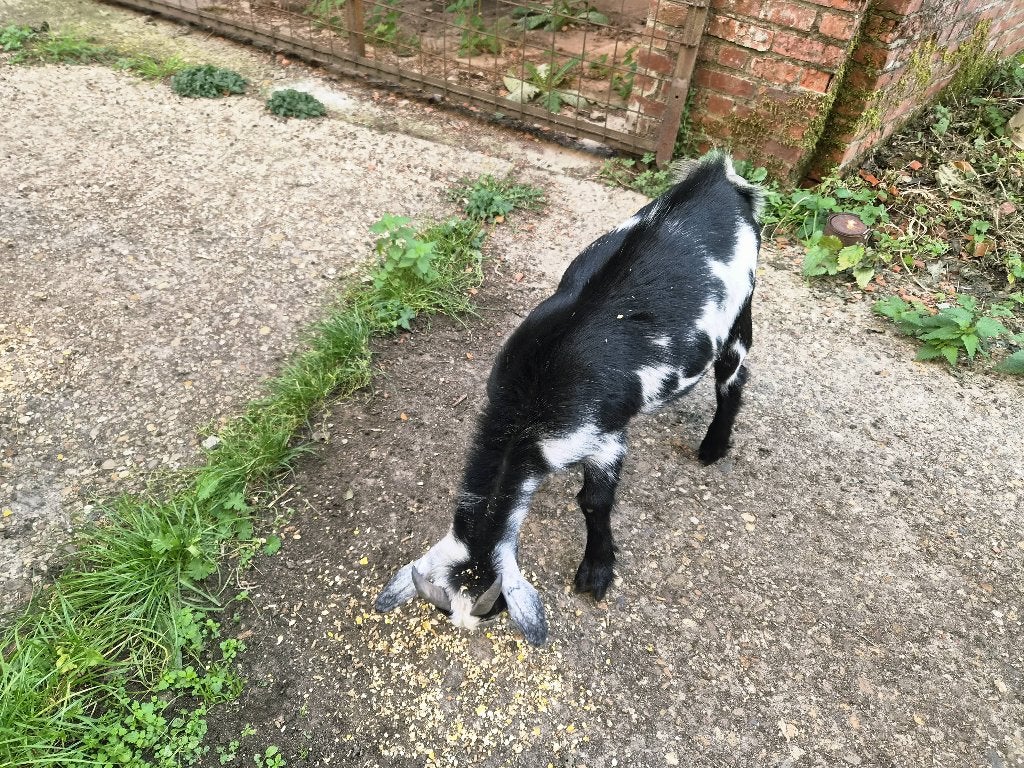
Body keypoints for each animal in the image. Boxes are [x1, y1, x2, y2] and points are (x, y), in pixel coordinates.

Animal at [375, 152, 763, 645]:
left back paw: (712, 448)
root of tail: (720, 180)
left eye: (495, 609)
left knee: (733, 378)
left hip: (741, 308)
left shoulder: (604, 438)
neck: (529, 403)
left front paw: (597, 573)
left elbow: (594, 502)